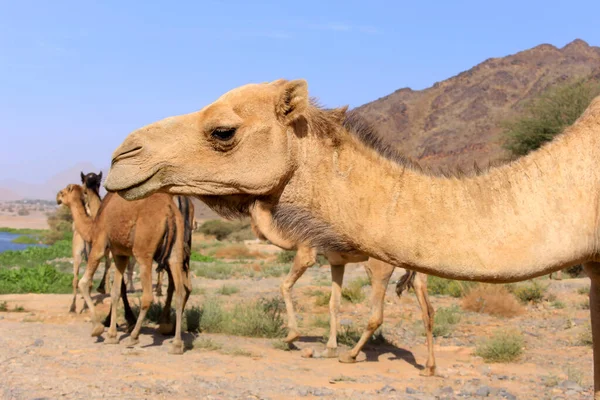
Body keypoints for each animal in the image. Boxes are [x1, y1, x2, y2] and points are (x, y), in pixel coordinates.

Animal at [55, 184, 192, 354]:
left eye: (63, 193)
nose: (57, 197)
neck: (93, 225)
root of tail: (169, 210)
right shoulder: (120, 254)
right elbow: (115, 293)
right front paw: (111, 336)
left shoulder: (100, 243)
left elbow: (84, 283)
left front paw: (98, 329)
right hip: (175, 250)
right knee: (180, 292)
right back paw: (176, 344)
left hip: (143, 251)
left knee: (148, 295)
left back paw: (134, 337)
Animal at [248, 212, 436, 376]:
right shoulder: (337, 262)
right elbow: (334, 303)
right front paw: (329, 349)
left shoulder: (306, 251)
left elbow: (284, 286)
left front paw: (291, 337)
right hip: (418, 269)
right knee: (428, 311)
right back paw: (429, 368)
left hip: (377, 265)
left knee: (377, 314)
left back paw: (350, 355)